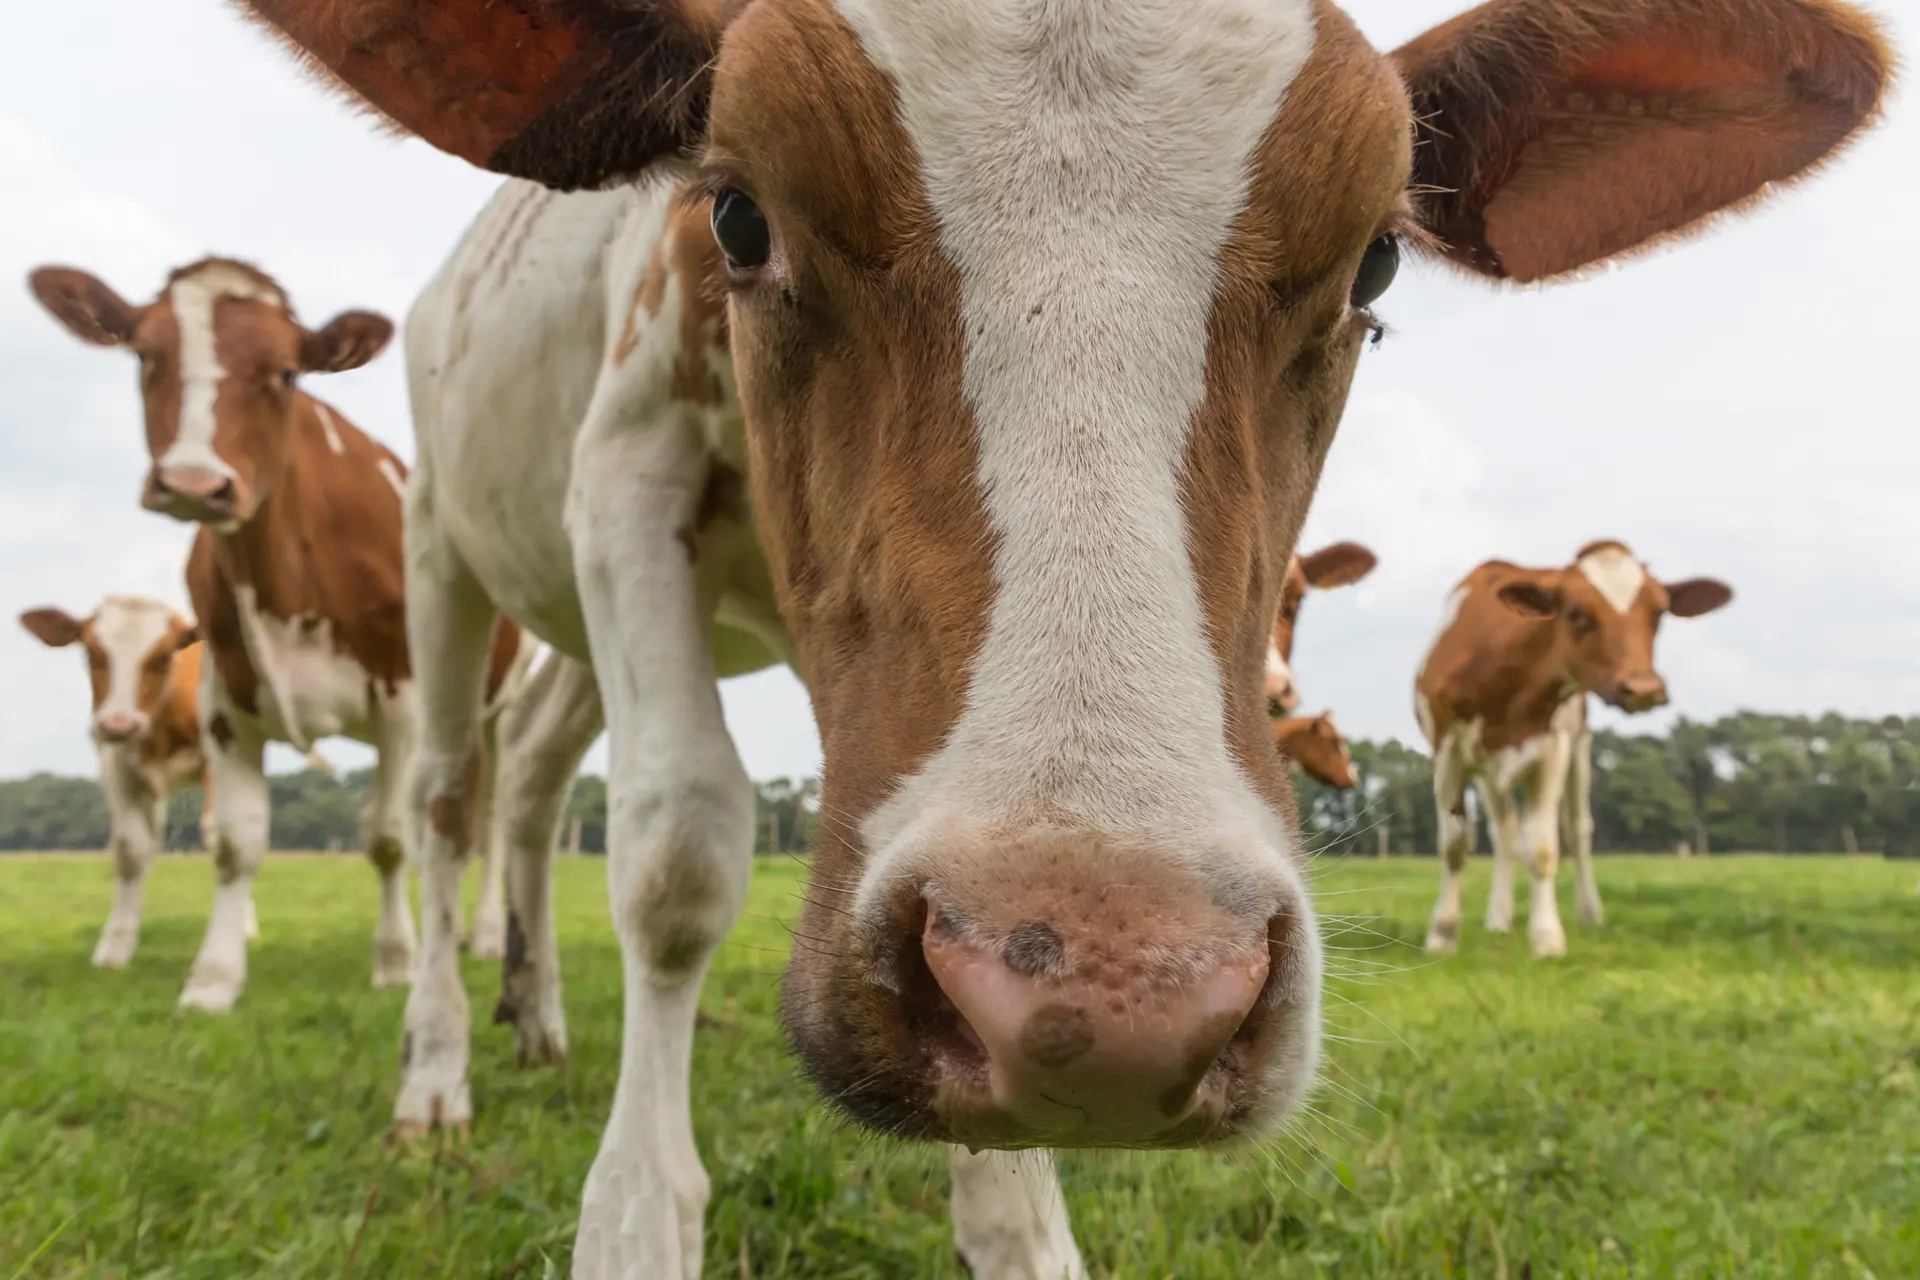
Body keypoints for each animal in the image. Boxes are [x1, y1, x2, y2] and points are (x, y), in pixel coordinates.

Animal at [25, 258, 535, 1012]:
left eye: (288, 372)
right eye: (145, 354)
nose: (194, 482)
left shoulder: (402, 704)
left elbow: (387, 838)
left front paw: (395, 962)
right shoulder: (226, 705)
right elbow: (235, 844)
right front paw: (213, 980)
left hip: (494, 710)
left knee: (489, 822)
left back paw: (487, 935)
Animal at [1416, 540, 1734, 958]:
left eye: (1659, 612)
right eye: (1576, 613)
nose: (1643, 688)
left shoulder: (1552, 749)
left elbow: (1543, 847)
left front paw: (1547, 938)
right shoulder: (1447, 750)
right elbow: (1455, 843)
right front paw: (1441, 934)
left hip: (1579, 748)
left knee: (1576, 830)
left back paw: (1588, 913)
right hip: (1487, 772)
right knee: (1504, 832)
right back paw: (1499, 919)